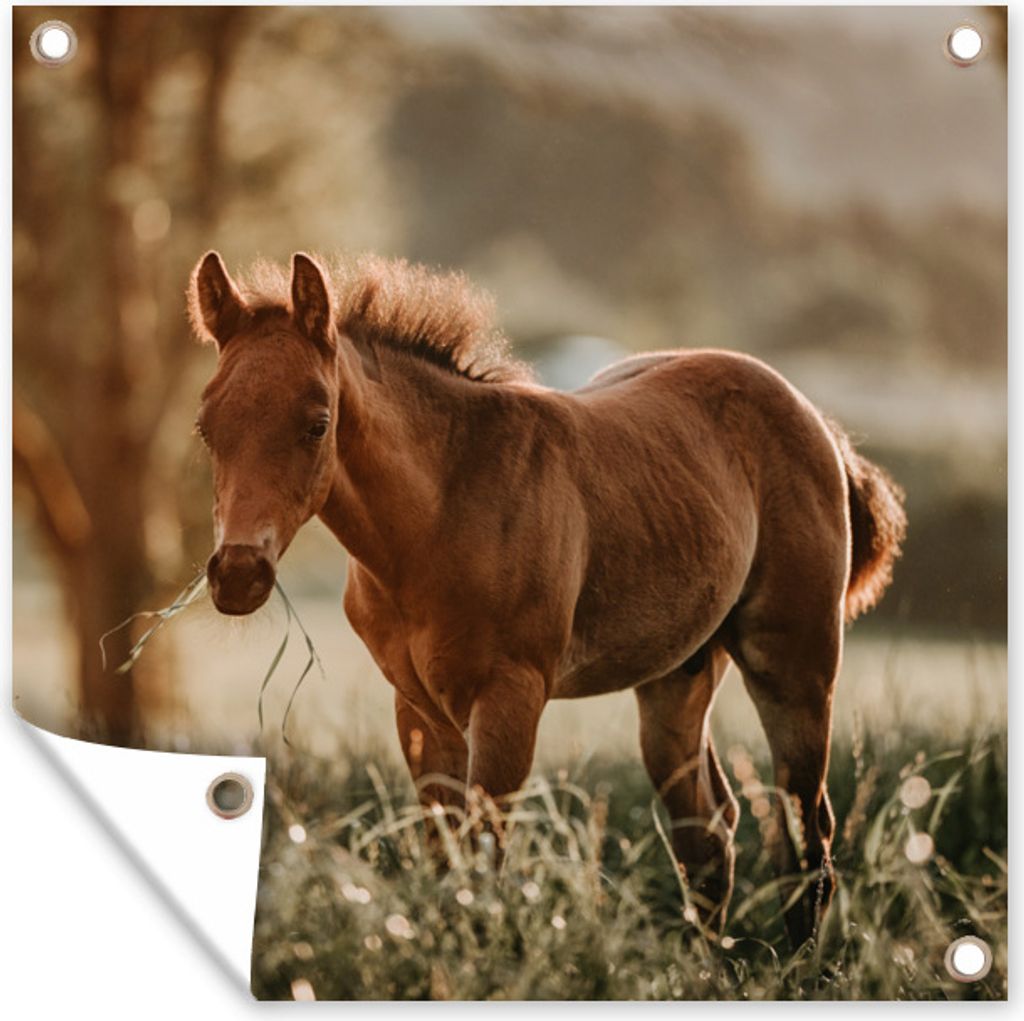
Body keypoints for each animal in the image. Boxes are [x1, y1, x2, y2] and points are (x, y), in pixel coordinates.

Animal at [189, 250, 906, 946]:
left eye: (318, 423)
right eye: (205, 426)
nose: (238, 574)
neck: (444, 508)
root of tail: (817, 421)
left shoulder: (511, 695)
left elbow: (484, 863)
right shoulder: (419, 709)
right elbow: (446, 862)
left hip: (795, 666)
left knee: (805, 834)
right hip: (678, 675)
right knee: (708, 837)